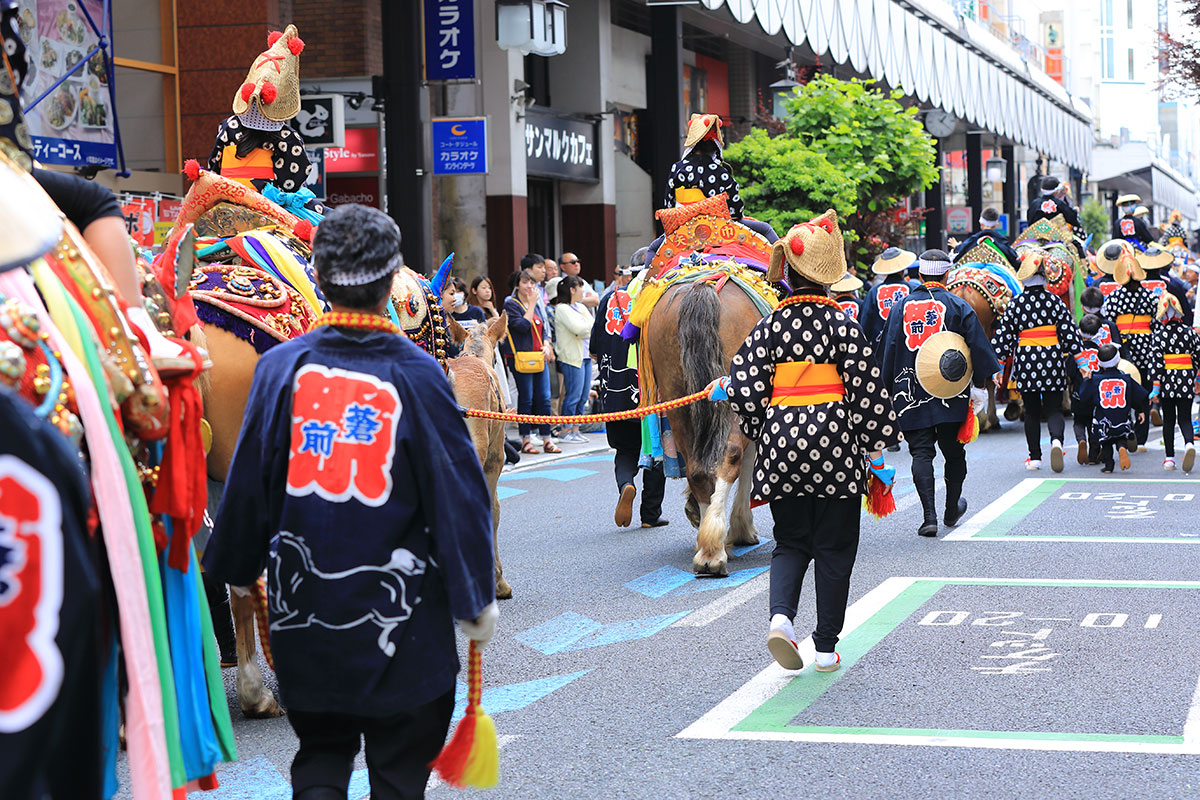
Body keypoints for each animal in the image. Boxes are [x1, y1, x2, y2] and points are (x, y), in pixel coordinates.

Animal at [648, 280, 758, 575]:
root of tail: (702, 289)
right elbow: (748, 461)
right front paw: (743, 526)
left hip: (676, 395)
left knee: (697, 469)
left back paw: (706, 542)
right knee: (730, 457)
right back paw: (714, 549)